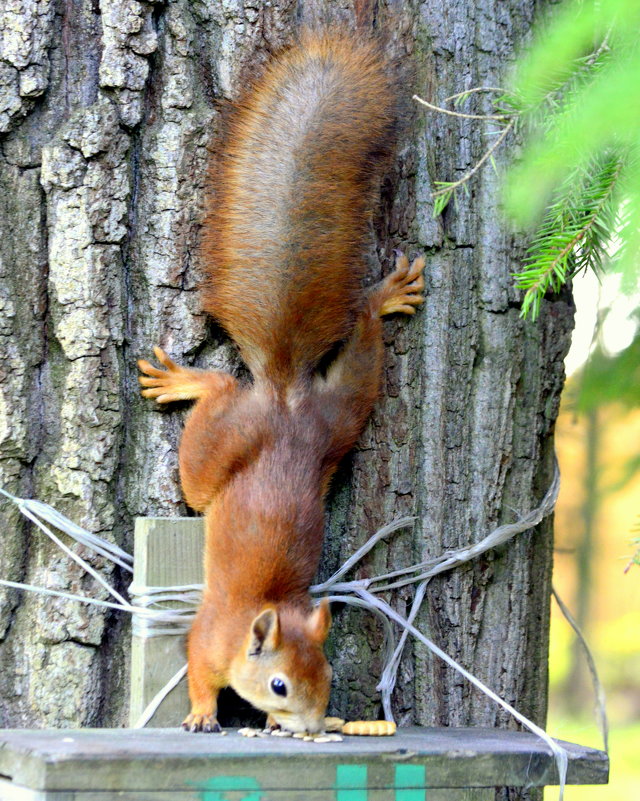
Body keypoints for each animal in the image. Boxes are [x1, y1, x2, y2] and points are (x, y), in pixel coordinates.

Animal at [138, 29, 422, 732]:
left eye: (327, 677)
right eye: (279, 685)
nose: (315, 727)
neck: (262, 606)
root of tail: (286, 400)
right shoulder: (207, 635)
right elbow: (198, 671)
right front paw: (204, 713)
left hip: (341, 414)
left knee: (360, 343)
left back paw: (383, 298)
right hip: (230, 446)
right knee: (214, 418)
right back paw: (187, 382)